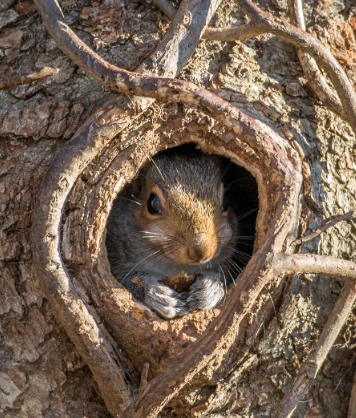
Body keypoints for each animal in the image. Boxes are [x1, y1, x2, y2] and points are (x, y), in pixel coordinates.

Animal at [105, 145, 248, 318]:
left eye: (227, 201)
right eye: (152, 204)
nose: (201, 251)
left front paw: (209, 289)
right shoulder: (119, 257)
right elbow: (128, 280)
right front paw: (159, 295)